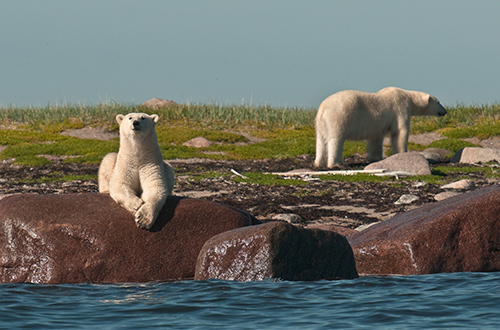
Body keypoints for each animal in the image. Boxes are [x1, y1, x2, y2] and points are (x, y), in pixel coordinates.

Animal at [314, 87, 448, 168]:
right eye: (438, 102)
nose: (445, 111)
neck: (408, 97)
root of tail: (323, 108)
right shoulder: (400, 108)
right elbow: (400, 132)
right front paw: (402, 153)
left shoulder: (376, 123)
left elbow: (375, 138)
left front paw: (375, 158)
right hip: (339, 116)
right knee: (336, 139)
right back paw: (336, 164)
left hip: (320, 123)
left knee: (321, 140)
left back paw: (318, 162)